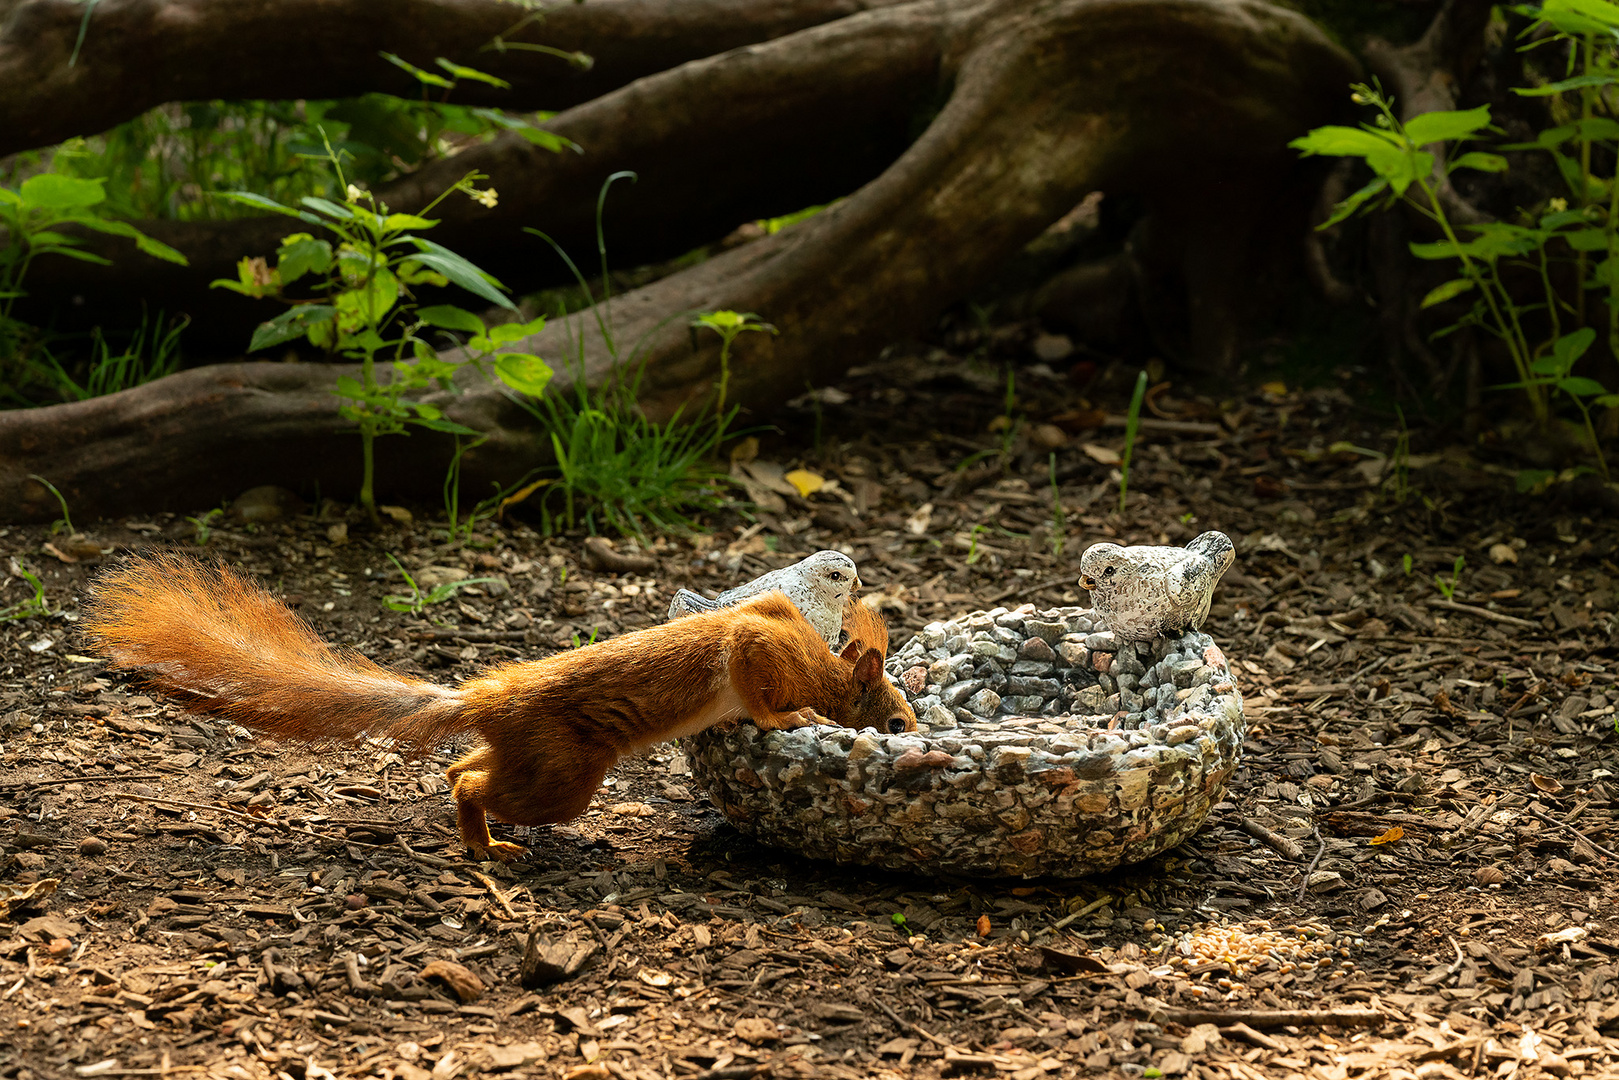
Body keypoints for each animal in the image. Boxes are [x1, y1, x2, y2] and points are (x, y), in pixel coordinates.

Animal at [88, 557, 919, 861]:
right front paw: (787, 721)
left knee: (461, 766)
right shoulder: (758, 644)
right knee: (470, 783)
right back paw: (487, 848)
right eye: (899, 722)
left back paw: (479, 833)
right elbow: (750, 677)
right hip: (562, 775)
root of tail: (489, 700)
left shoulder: (773, 612)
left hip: (533, 757)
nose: (915, 734)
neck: (821, 664)